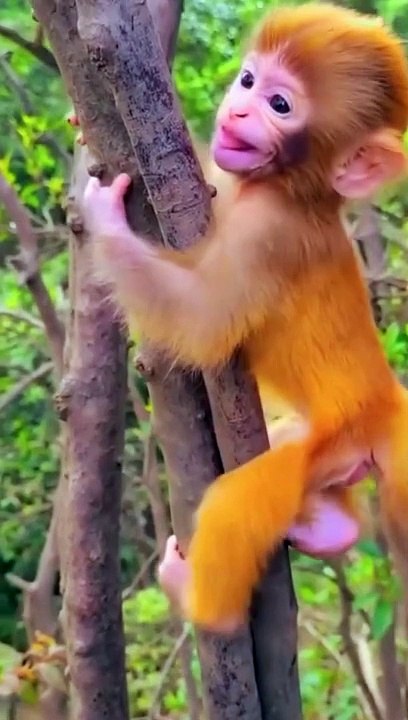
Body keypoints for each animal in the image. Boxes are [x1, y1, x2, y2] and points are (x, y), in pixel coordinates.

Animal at [81, 2, 408, 633]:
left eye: (279, 104)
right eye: (249, 80)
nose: (236, 109)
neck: (285, 189)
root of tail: (385, 405)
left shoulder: (269, 236)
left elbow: (203, 321)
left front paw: (103, 217)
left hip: (334, 441)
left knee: (235, 505)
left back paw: (197, 600)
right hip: (325, 453)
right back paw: (327, 530)